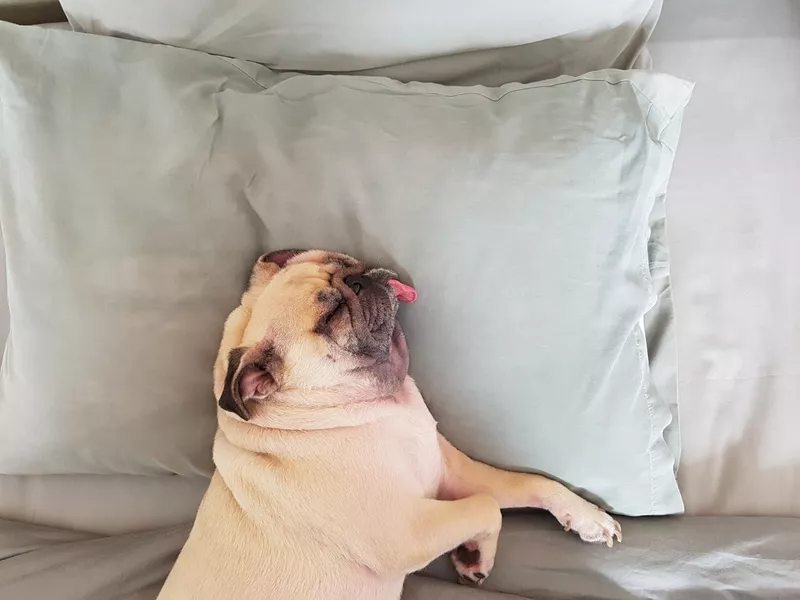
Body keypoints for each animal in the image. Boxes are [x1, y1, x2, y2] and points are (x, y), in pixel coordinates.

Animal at [156, 248, 620, 600]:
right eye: (330, 316)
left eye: (344, 262)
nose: (360, 279)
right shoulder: (410, 530)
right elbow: (487, 506)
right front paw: (475, 553)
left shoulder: (452, 474)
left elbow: (533, 484)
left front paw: (587, 516)